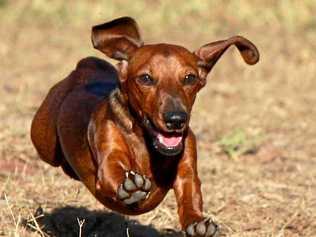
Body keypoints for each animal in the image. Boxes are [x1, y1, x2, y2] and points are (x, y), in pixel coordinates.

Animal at [30, 17, 260, 237]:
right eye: (146, 78)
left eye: (189, 78)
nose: (176, 119)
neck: (147, 144)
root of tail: (85, 65)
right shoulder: (109, 158)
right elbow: (113, 172)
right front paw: (132, 188)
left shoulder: (187, 171)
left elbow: (190, 195)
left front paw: (196, 222)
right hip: (44, 143)